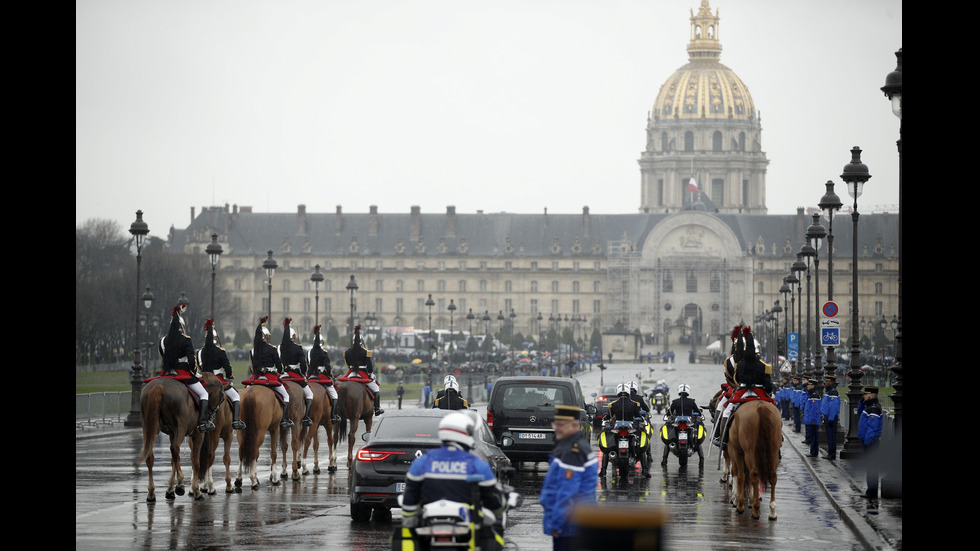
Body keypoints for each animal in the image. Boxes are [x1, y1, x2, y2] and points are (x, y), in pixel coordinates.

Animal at [136, 374, 224, 502]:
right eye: (222, 398)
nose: (213, 416)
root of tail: (159, 386)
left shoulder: (172, 434)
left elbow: (174, 460)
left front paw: (170, 490)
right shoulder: (198, 434)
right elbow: (195, 462)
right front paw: (195, 490)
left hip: (149, 428)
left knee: (151, 455)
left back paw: (151, 492)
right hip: (181, 428)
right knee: (175, 448)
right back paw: (181, 484)